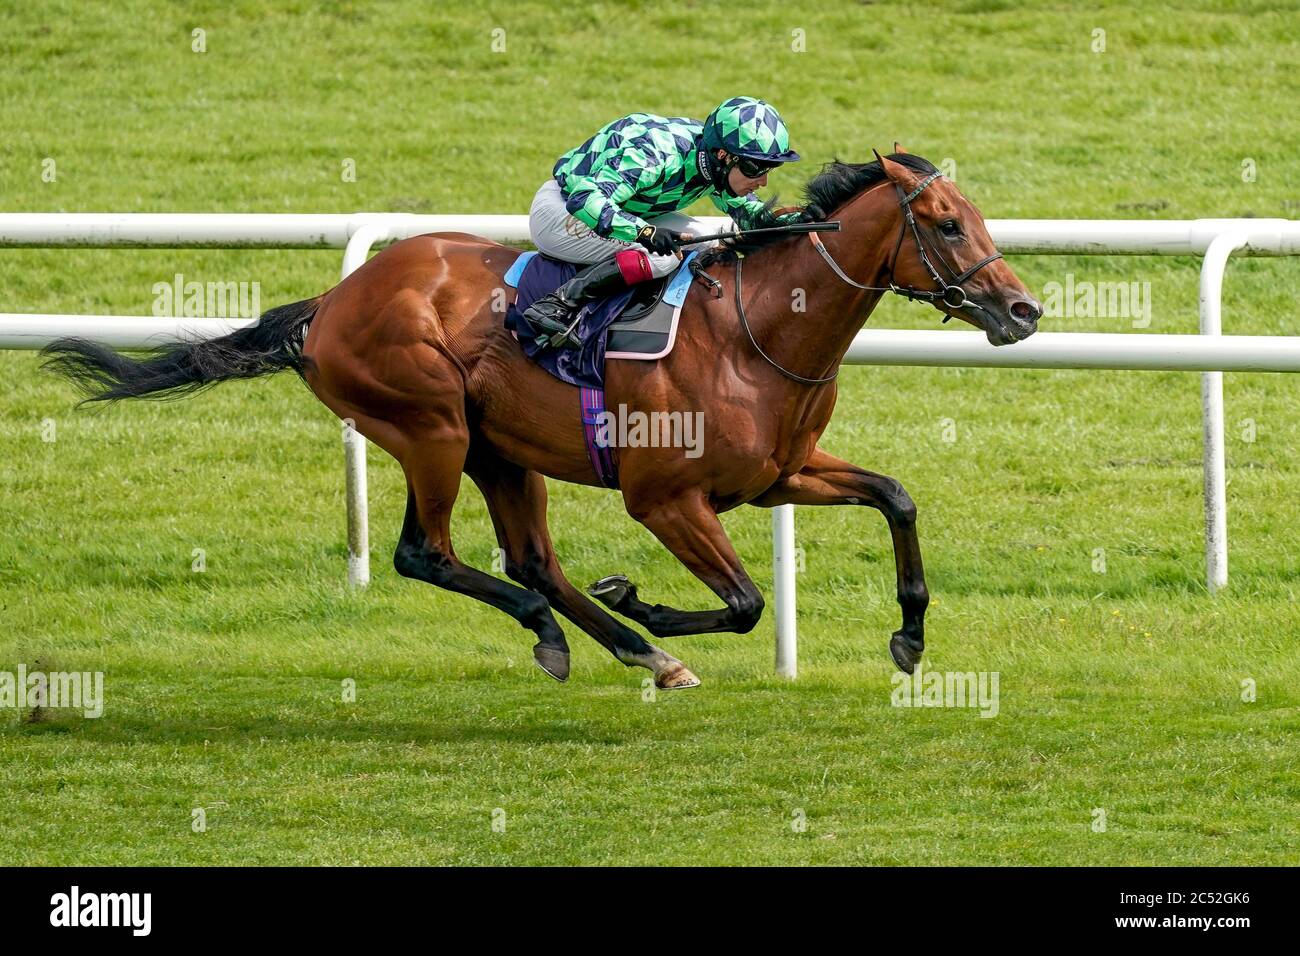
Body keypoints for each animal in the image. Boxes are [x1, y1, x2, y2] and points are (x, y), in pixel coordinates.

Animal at [40, 151, 1045, 686]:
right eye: (947, 224)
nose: (1024, 310)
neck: (755, 331)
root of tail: (330, 303)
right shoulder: (666, 499)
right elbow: (747, 603)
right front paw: (641, 597)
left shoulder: (777, 477)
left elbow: (896, 496)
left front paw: (910, 636)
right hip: (430, 427)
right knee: (427, 554)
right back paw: (574, 635)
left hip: (499, 450)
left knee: (531, 560)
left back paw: (630, 649)